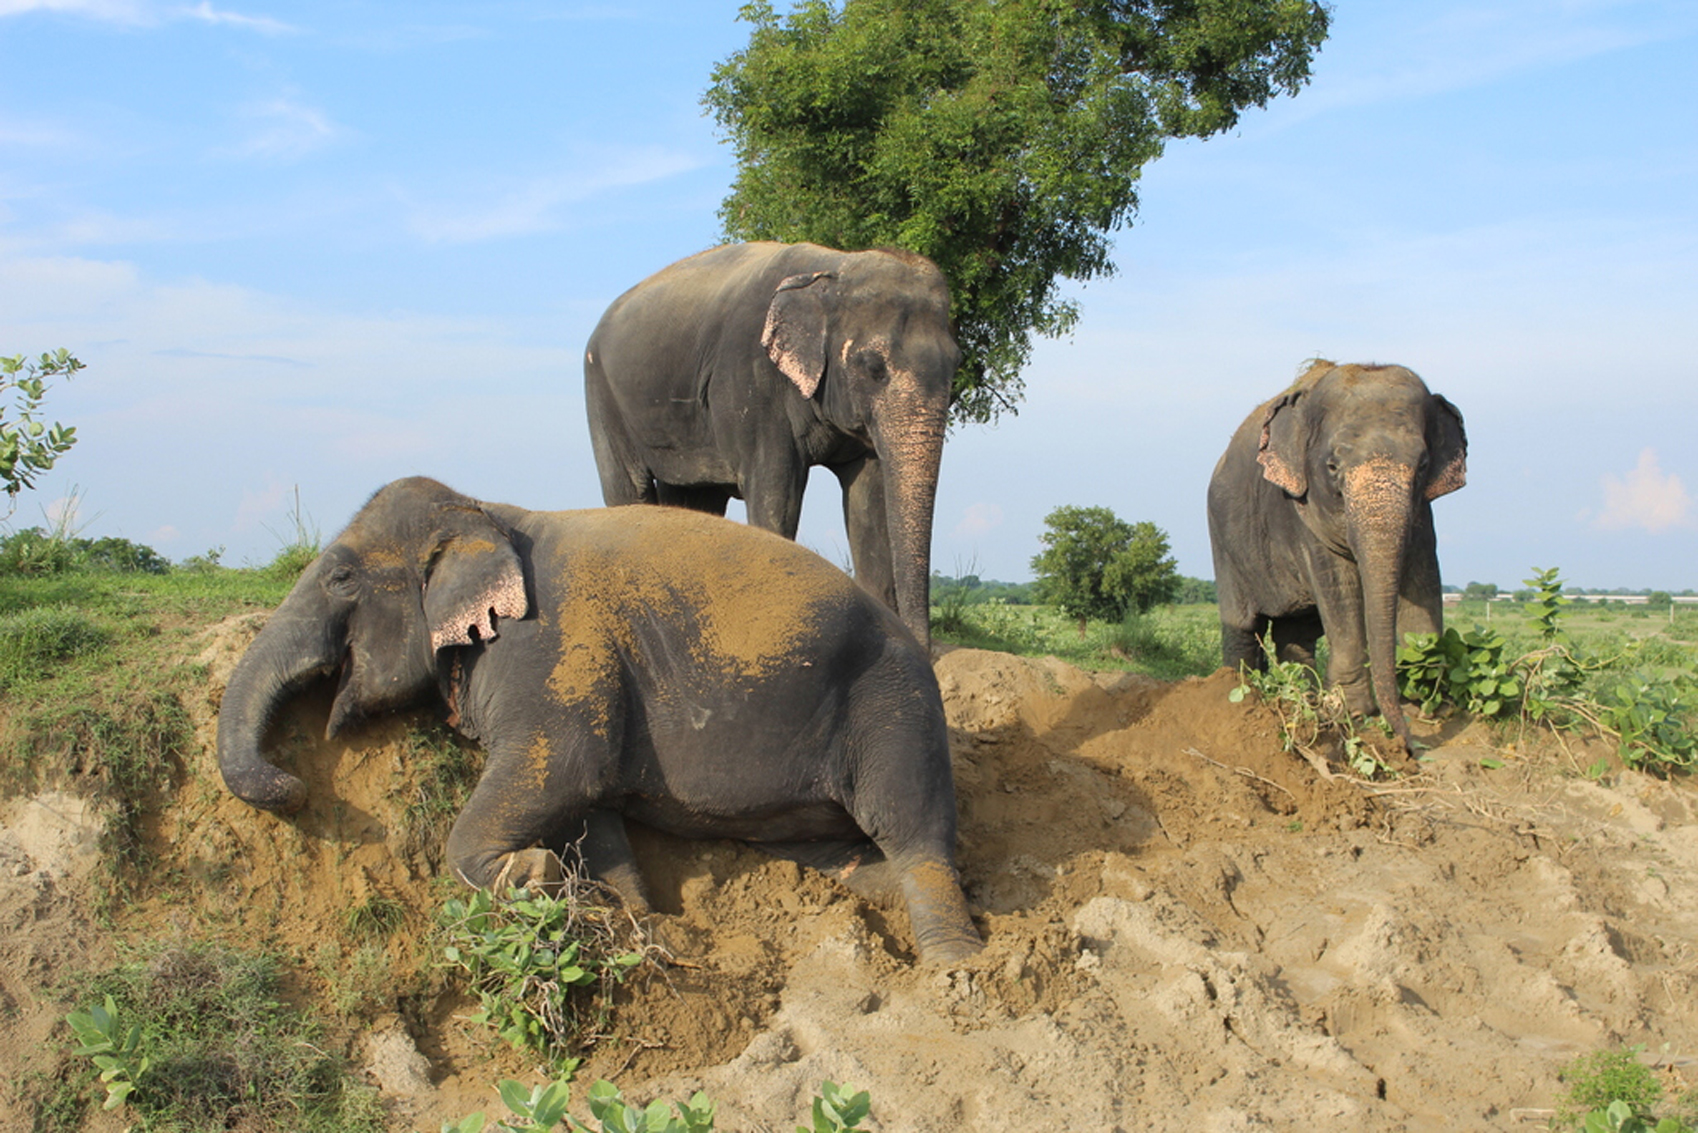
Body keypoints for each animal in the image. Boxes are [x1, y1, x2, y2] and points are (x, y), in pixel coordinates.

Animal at [216, 476, 982, 965]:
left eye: (340, 577)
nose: (294, 785)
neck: (484, 511)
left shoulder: (549, 649)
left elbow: (563, 764)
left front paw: (535, 875)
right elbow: (591, 806)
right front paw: (632, 914)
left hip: (894, 704)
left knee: (910, 827)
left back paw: (954, 964)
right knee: (847, 854)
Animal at [583, 241, 960, 647]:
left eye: (957, 367)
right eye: (874, 366)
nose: (924, 650)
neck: (834, 266)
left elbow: (868, 503)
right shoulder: (752, 384)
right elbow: (776, 494)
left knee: (695, 501)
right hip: (601, 393)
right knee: (629, 490)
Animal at [1207, 360, 1467, 750]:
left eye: (1423, 465)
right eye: (1332, 467)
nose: (1408, 744)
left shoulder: (1422, 519)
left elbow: (1423, 581)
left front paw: (1431, 704)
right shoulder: (1301, 513)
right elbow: (1339, 589)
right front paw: (1354, 712)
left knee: (1296, 634)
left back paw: (1303, 697)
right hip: (1223, 542)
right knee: (1244, 626)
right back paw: (1243, 693)